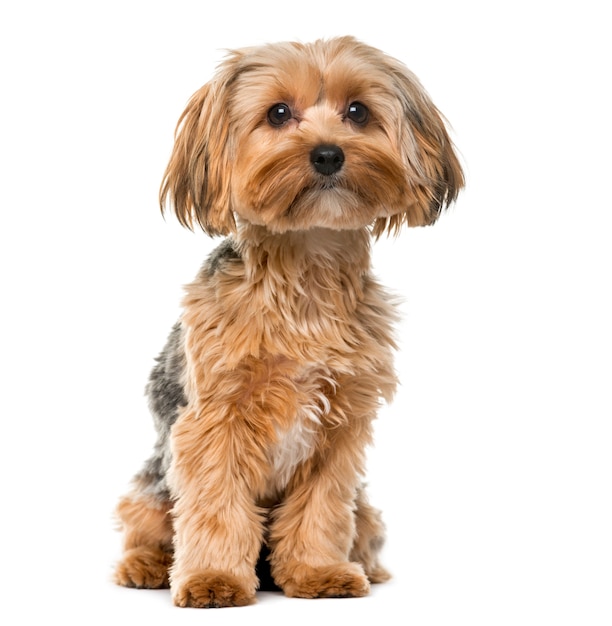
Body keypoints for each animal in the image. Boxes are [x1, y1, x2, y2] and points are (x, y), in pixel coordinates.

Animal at [113, 36, 464, 608]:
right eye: (278, 113)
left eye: (357, 112)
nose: (328, 153)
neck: (306, 269)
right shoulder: (214, 420)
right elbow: (215, 506)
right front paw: (213, 579)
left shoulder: (342, 424)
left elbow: (320, 508)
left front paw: (318, 572)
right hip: (152, 486)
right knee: (147, 522)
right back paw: (145, 565)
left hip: (367, 507)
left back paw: (364, 567)